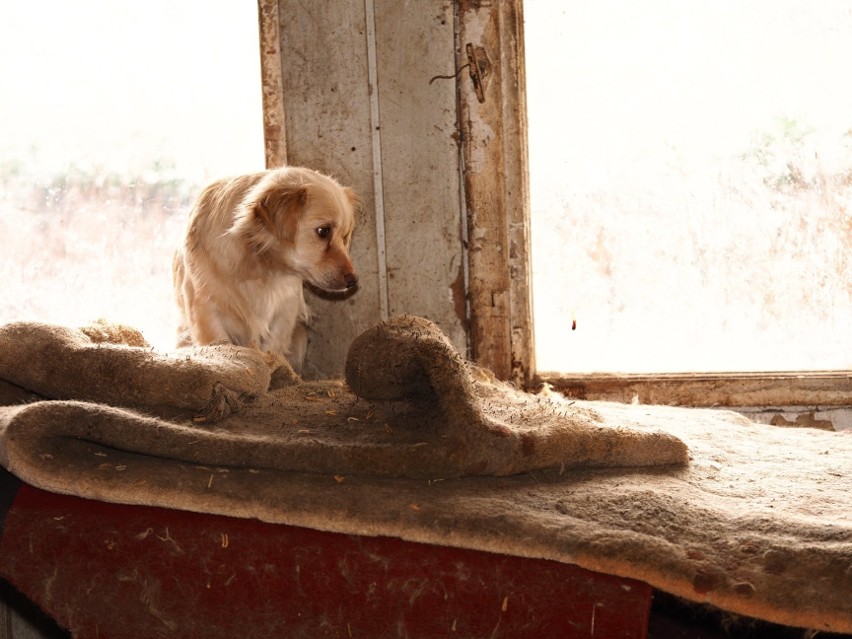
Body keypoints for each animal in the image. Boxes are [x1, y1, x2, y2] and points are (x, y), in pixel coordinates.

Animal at [173, 168, 360, 372]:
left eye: (344, 236)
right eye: (323, 231)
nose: (354, 280)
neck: (260, 266)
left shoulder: (285, 310)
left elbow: (272, 349)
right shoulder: (206, 311)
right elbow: (220, 346)